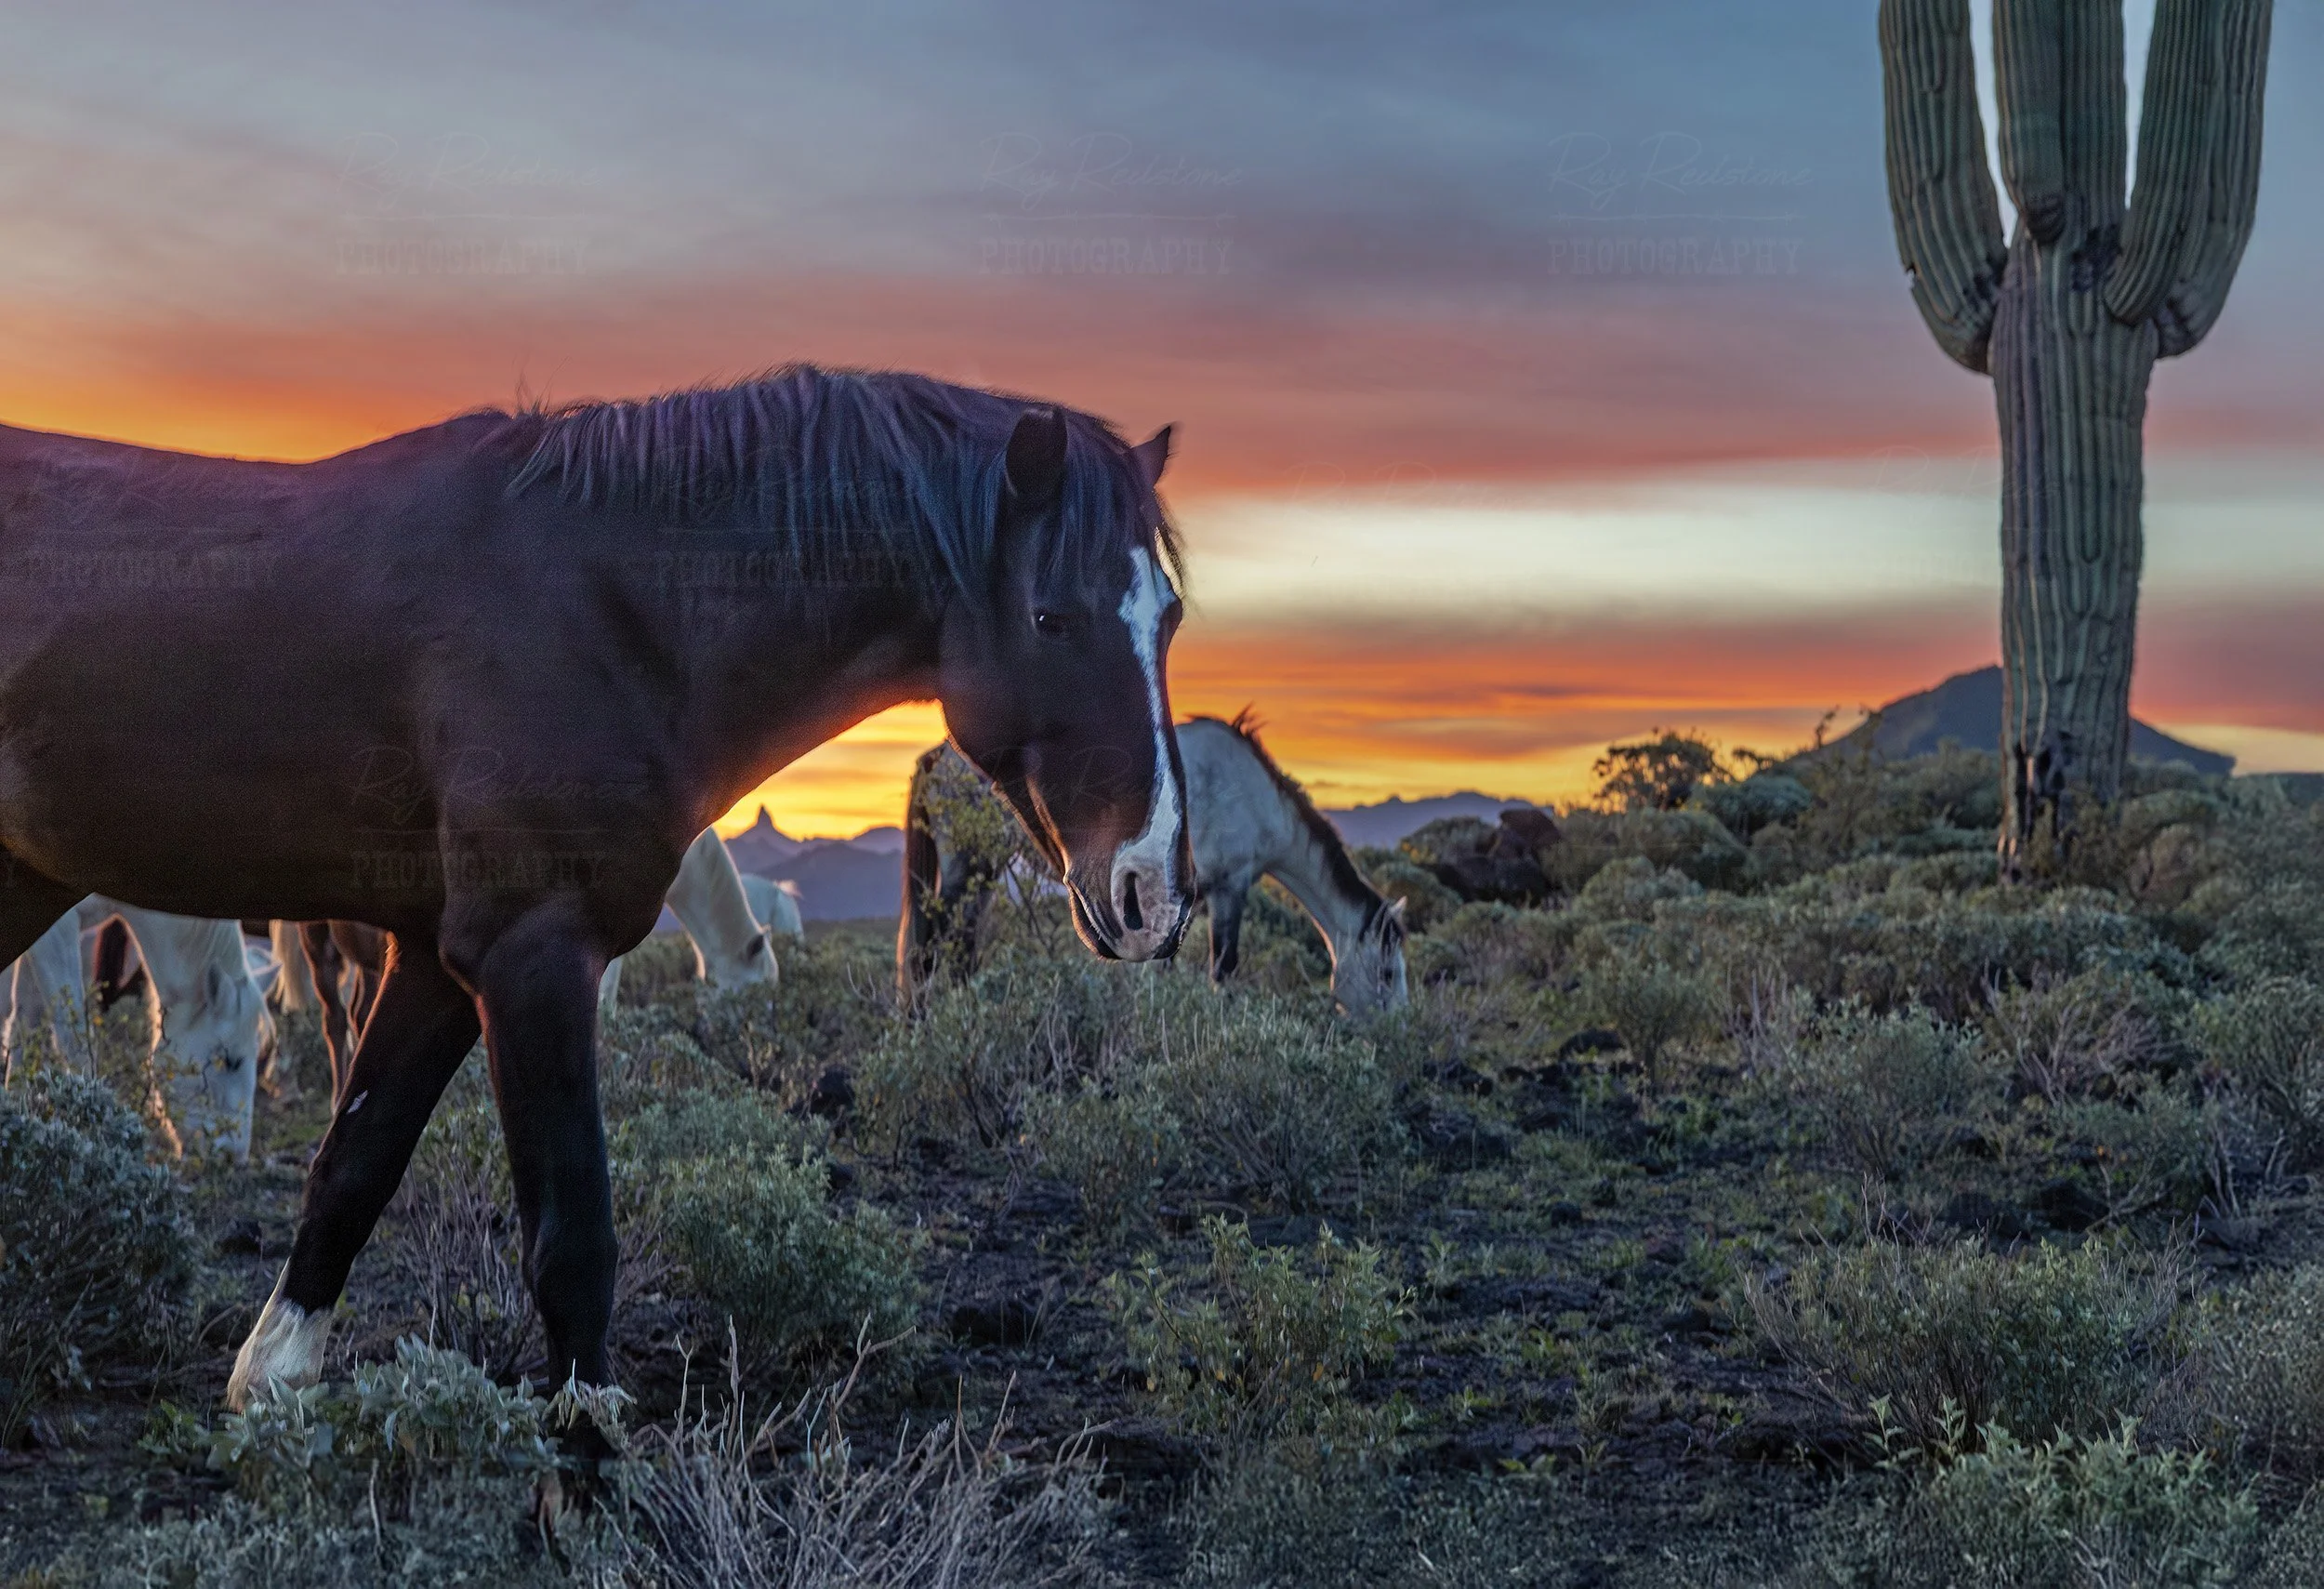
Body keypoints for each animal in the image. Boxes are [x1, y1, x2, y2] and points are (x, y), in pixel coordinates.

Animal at [900, 713, 1408, 1012]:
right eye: (1387, 973)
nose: (1397, 1034)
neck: (1254, 798)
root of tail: (939, 757)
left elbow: (1165, 966)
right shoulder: (1231, 888)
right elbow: (1224, 966)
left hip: (984, 872)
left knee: (963, 943)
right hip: (968, 864)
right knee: (935, 941)